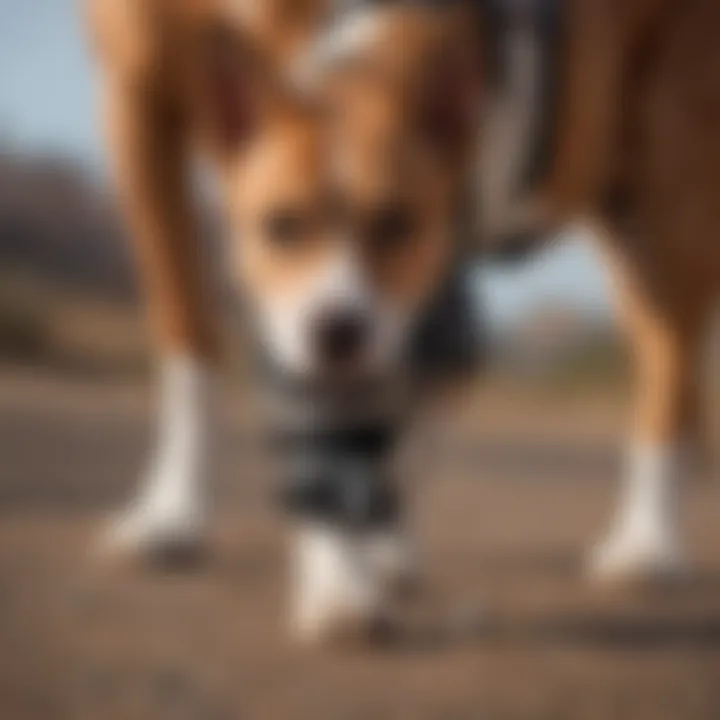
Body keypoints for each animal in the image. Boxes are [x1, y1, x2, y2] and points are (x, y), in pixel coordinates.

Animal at [87, 0, 720, 640]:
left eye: (397, 222)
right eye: (281, 225)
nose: (338, 331)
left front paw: (354, 567)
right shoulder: (140, 96)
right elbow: (317, 438)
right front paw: (332, 577)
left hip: (665, 217)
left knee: (668, 379)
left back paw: (647, 543)